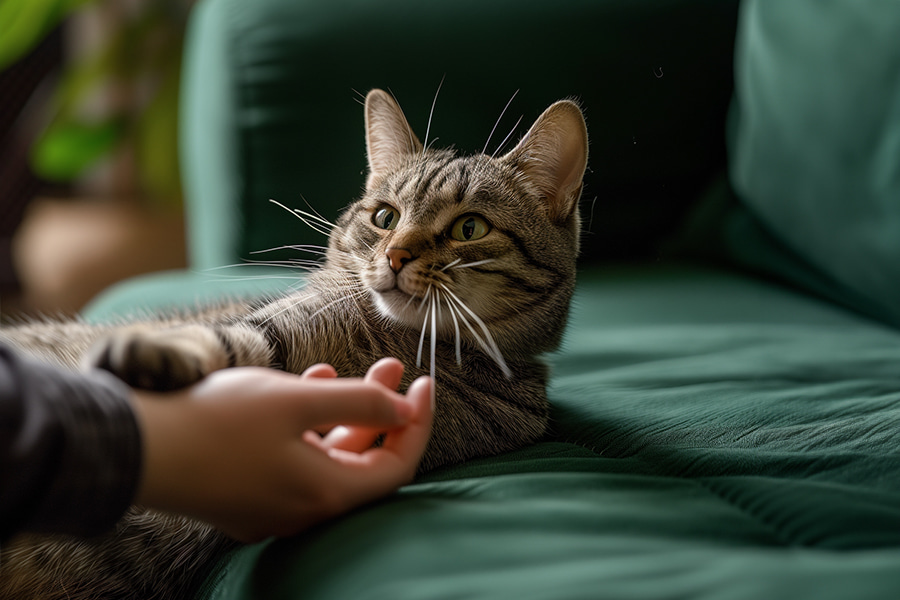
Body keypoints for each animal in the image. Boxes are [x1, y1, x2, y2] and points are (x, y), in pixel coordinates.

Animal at [0, 90, 592, 600]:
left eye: (470, 228)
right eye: (385, 217)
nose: (396, 254)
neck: (396, 341)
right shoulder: (272, 328)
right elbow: (227, 339)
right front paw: (154, 355)